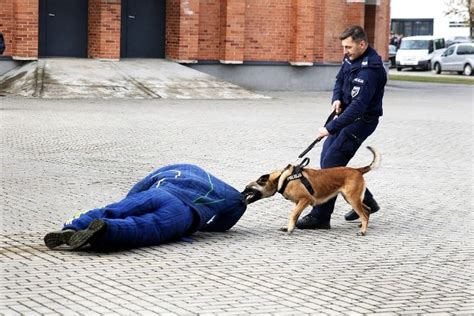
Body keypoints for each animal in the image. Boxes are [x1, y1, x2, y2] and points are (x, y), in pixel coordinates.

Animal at [243, 146, 380, 235]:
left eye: (247, 188)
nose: (241, 194)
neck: (283, 178)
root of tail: (357, 170)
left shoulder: (305, 199)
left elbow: (293, 214)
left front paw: (290, 228)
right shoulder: (298, 203)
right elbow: (295, 215)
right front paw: (290, 226)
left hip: (352, 199)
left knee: (364, 214)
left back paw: (363, 230)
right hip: (350, 198)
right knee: (367, 210)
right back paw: (362, 225)